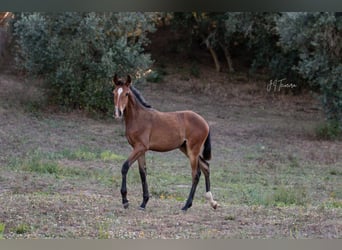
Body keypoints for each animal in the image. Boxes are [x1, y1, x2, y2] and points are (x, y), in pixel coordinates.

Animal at [113, 74, 218, 211]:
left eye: (126, 93)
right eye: (114, 92)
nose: (118, 113)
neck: (138, 117)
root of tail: (205, 122)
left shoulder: (140, 147)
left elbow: (125, 167)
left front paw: (125, 201)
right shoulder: (140, 149)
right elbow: (142, 173)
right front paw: (144, 203)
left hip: (193, 150)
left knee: (195, 174)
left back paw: (186, 205)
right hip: (185, 148)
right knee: (205, 166)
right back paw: (212, 202)